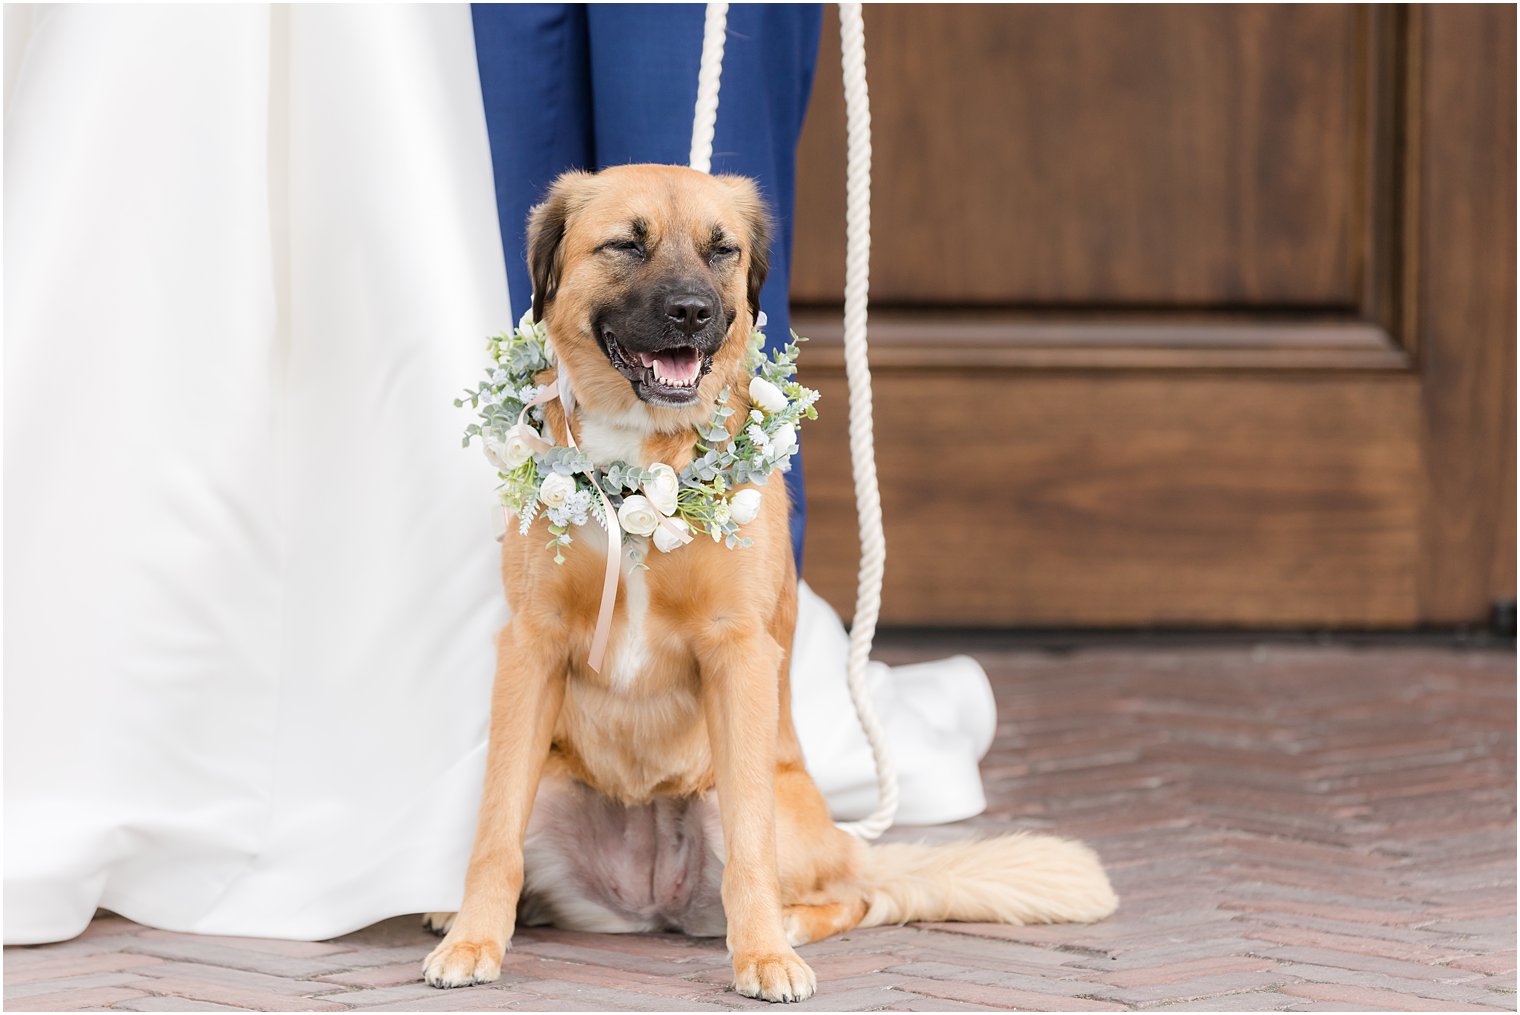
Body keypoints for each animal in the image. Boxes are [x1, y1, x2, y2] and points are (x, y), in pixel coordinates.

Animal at [422, 164, 1112, 996]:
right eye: (626, 243)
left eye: (723, 250)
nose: (694, 312)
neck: (642, 476)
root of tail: (650, 903)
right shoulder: (532, 646)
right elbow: (495, 828)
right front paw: (474, 937)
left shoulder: (740, 654)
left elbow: (752, 850)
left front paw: (763, 955)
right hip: (555, 779)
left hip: (755, 802)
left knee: (856, 893)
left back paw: (789, 925)